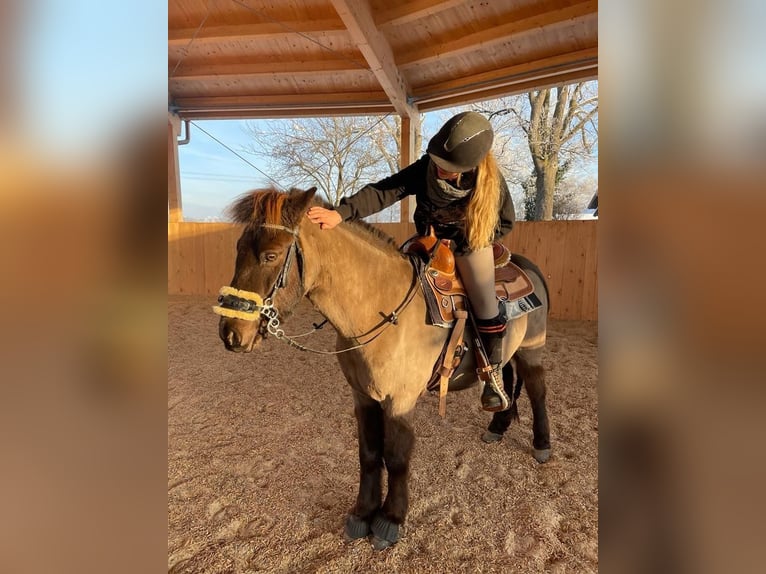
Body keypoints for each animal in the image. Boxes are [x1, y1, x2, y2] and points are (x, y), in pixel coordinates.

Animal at [216, 187, 552, 552]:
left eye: (271, 255)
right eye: (237, 249)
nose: (231, 333)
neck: (381, 308)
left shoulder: (399, 401)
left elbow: (397, 457)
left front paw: (390, 520)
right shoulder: (363, 396)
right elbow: (369, 453)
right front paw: (363, 513)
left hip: (532, 350)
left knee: (537, 391)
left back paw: (542, 445)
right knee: (506, 380)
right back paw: (497, 424)